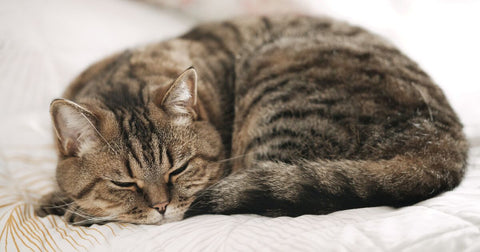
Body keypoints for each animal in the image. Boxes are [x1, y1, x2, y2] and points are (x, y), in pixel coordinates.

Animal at [34, 14, 468, 225]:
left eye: (179, 170)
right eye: (124, 182)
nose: (161, 206)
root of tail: (444, 142)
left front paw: (72, 208)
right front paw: (56, 198)